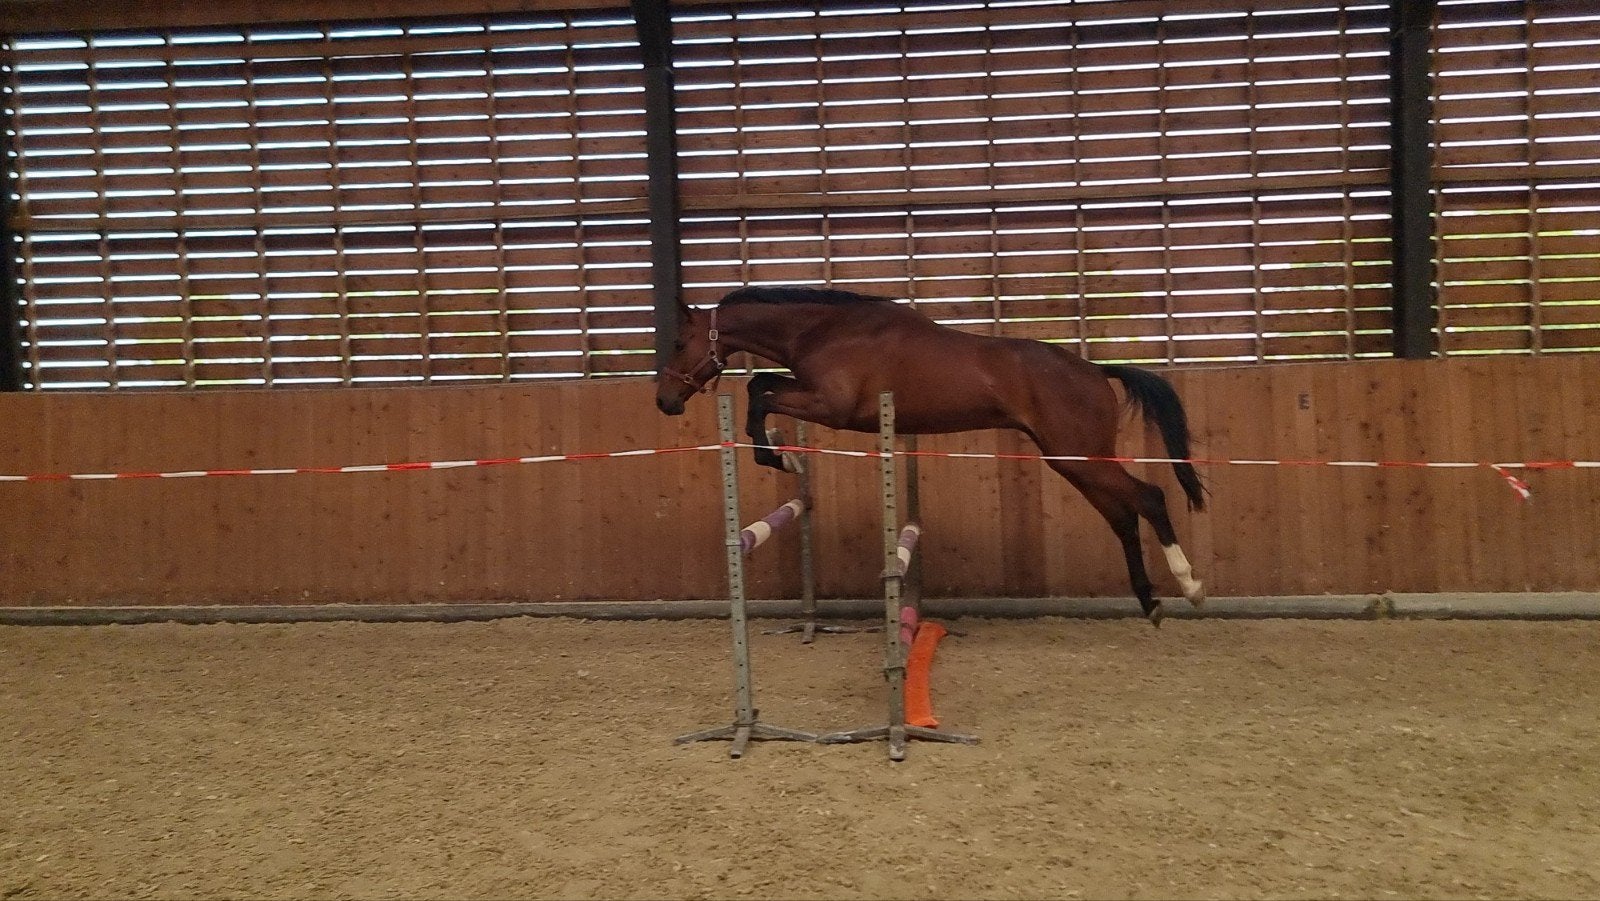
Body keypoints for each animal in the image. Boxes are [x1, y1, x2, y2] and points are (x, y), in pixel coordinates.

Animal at [655, 286, 1206, 626]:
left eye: (680, 341)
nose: (665, 402)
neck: (828, 329)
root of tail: (1094, 370)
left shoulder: (832, 407)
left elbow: (760, 395)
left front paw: (779, 458)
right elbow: (762, 386)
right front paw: (783, 456)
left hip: (1081, 458)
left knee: (1150, 498)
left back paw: (1190, 586)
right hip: (1072, 462)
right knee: (1123, 517)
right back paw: (1150, 603)